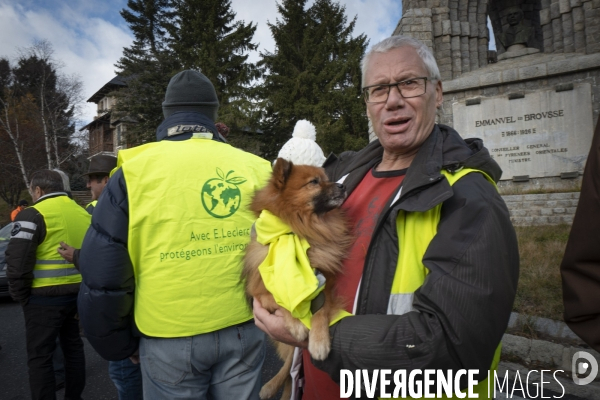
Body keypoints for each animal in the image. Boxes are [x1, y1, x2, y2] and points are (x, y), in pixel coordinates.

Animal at [241, 158, 350, 398]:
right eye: (314, 182)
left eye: (327, 178)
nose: (343, 185)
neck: (297, 234)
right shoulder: (259, 293)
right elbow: (281, 301)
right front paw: (297, 323)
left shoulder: (324, 286)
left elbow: (320, 310)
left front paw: (319, 341)